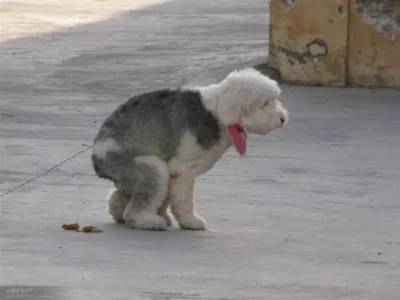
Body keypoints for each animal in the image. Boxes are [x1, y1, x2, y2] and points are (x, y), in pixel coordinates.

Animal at [92, 69, 290, 231]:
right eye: (265, 103)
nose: (282, 119)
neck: (218, 113)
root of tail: (96, 157)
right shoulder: (183, 169)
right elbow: (183, 200)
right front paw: (191, 222)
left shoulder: (172, 168)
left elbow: (167, 197)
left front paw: (165, 214)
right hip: (150, 168)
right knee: (136, 208)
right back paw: (150, 221)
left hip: (135, 174)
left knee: (120, 195)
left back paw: (123, 212)